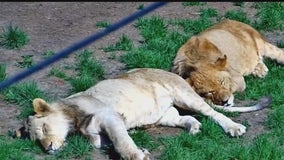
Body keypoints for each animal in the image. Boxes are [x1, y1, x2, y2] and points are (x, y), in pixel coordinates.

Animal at [15, 68, 270, 160]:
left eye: (44, 129)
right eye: (36, 141)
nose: (48, 148)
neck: (74, 125)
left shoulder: (110, 117)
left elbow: (121, 143)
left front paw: (138, 155)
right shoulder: (99, 135)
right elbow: (108, 143)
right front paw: (143, 150)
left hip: (184, 95)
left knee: (212, 113)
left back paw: (233, 128)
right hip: (165, 115)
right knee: (185, 118)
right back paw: (194, 128)